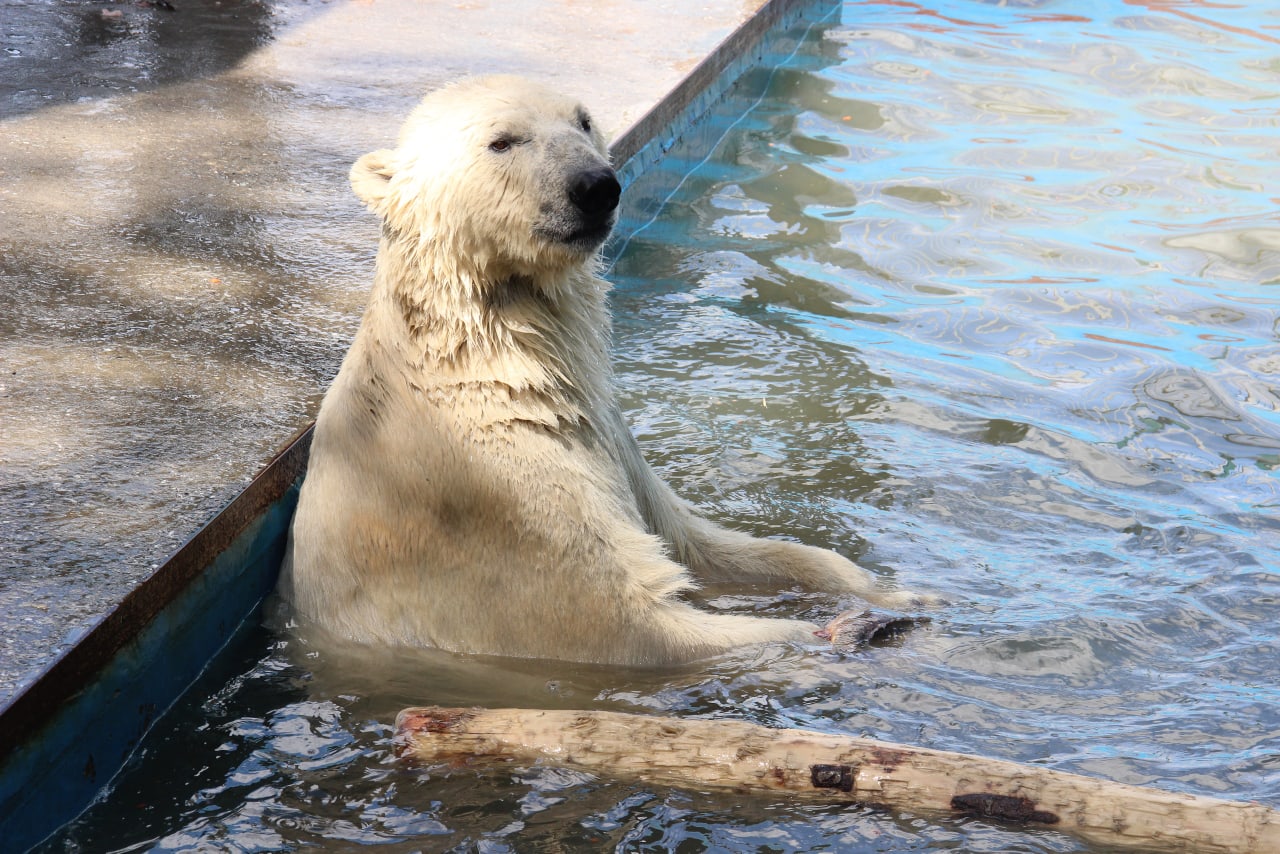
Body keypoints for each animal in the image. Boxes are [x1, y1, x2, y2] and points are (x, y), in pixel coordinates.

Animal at [280, 76, 936, 665]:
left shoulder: (608, 441)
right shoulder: (495, 502)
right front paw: (856, 628)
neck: (487, 366)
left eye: (584, 120)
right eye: (502, 140)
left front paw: (890, 591)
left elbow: (697, 543)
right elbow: (625, 619)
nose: (596, 186)